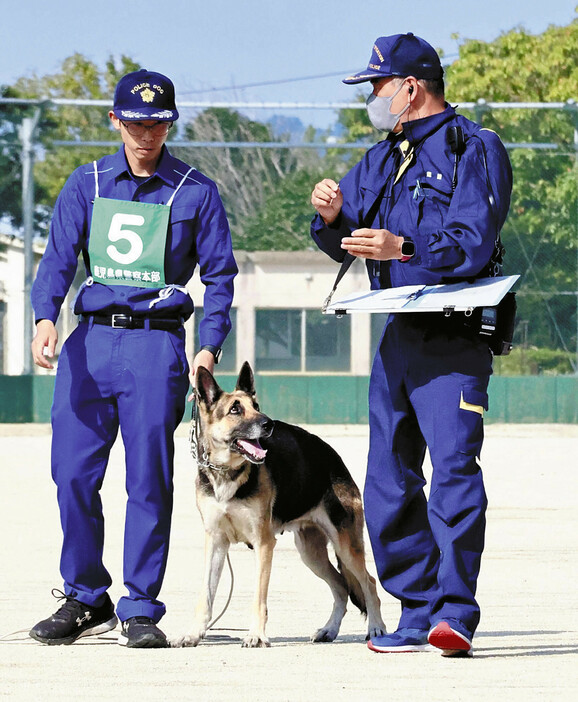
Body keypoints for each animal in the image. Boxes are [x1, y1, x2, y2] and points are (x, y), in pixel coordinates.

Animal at [172, 366, 388, 652]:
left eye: (256, 406)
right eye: (235, 409)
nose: (268, 424)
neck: (228, 471)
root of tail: (333, 457)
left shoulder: (263, 544)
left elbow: (258, 597)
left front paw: (256, 635)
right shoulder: (215, 543)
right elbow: (205, 595)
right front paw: (193, 634)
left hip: (345, 547)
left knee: (369, 584)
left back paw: (376, 627)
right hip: (311, 554)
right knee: (341, 587)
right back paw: (329, 629)